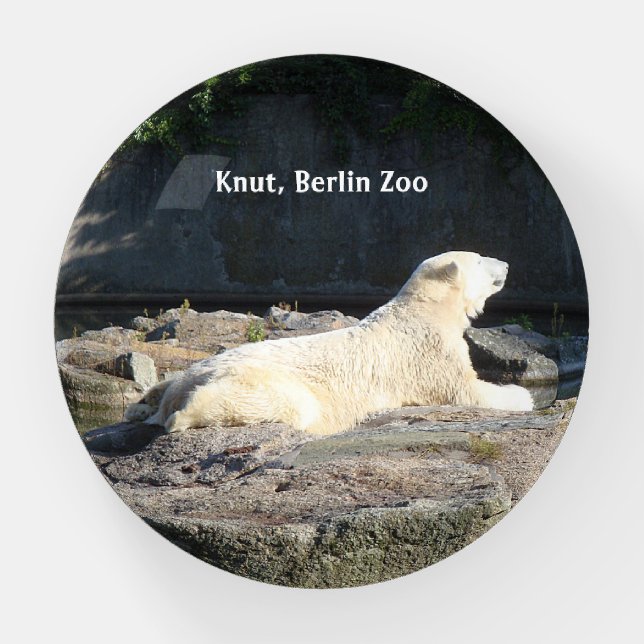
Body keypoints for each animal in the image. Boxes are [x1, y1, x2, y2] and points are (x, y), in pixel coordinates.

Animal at [125, 251, 533, 435]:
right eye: (479, 260)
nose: (507, 264)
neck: (424, 311)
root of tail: (186, 385)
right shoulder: (426, 353)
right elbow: (469, 391)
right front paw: (523, 395)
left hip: (192, 370)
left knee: (164, 384)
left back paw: (141, 407)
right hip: (260, 381)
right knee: (287, 405)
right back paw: (179, 416)